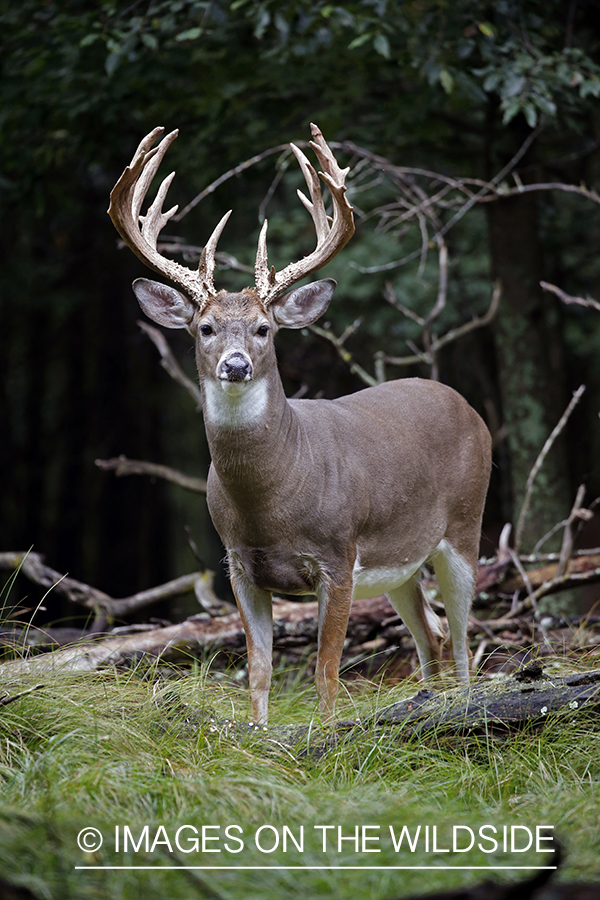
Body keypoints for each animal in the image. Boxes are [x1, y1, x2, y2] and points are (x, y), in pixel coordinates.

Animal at [109, 123, 492, 724]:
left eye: (264, 329)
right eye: (204, 328)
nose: (235, 365)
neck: (273, 497)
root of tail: (467, 405)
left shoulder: (337, 557)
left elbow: (326, 673)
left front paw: (328, 736)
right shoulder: (239, 564)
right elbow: (260, 670)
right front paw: (259, 734)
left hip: (464, 525)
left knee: (460, 640)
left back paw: (464, 709)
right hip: (400, 563)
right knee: (429, 638)